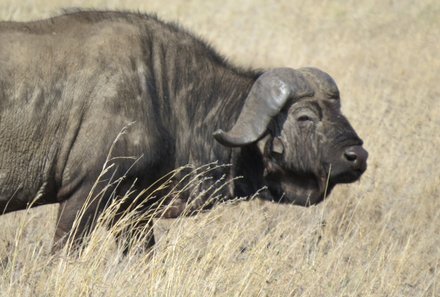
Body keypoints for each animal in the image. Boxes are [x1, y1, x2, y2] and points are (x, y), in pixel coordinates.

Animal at [0, 11, 368, 252]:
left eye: (338, 110)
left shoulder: (133, 208)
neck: (162, 90)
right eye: (305, 117)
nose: (357, 156)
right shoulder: (85, 192)